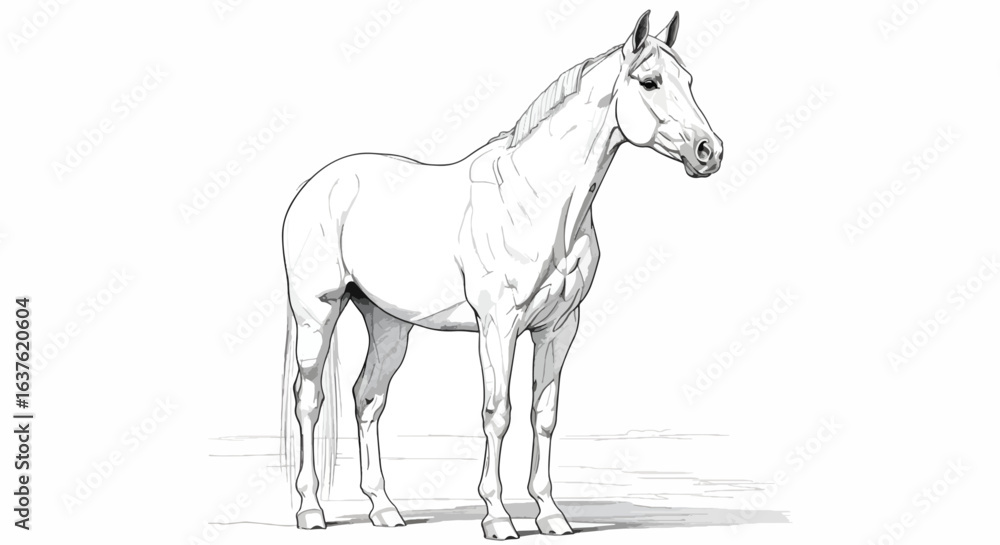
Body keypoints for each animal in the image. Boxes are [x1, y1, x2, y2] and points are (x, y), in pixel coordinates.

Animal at [278, 9, 723, 540]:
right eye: (649, 81)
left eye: (689, 81)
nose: (709, 152)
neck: (536, 201)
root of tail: (320, 183)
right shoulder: (498, 325)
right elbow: (498, 413)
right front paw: (497, 517)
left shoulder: (558, 328)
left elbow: (544, 414)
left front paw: (551, 514)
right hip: (317, 313)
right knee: (309, 399)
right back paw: (310, 510)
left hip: (388, 323)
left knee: (368, 398)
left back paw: (385, 509)